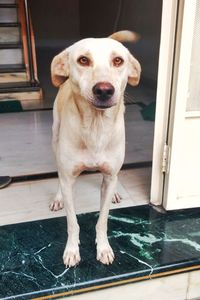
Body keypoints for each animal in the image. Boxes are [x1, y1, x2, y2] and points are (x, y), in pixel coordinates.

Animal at [49, 30, 141, 268]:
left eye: (118, 61)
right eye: (83, 60)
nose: (104, 90)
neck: (96, 127)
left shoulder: (108, 176)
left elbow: (103, 220)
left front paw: (104, 248)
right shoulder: (69, 178)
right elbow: (73, 223)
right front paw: (72, 250)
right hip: (55, 136)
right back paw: (57, 197)